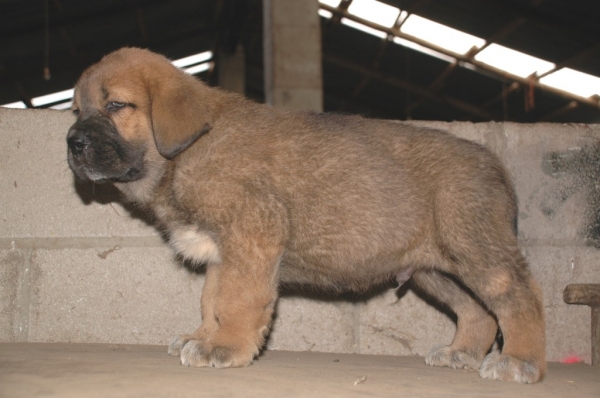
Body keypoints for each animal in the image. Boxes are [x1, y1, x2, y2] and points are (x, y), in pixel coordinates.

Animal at [68, 47, 548, 382]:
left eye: (116, 106)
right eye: (75, 110)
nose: (72, 142)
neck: (186, 153)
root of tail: (494, 164)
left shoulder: (253, 232)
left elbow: (237, 300)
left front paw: (225, 348)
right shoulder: (227, 251)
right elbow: (211, 300)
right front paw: (203, 337)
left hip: (475, 250)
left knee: (519, 298)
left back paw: (520, 361)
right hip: (435, 269)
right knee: (479, 312)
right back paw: (460, 353)